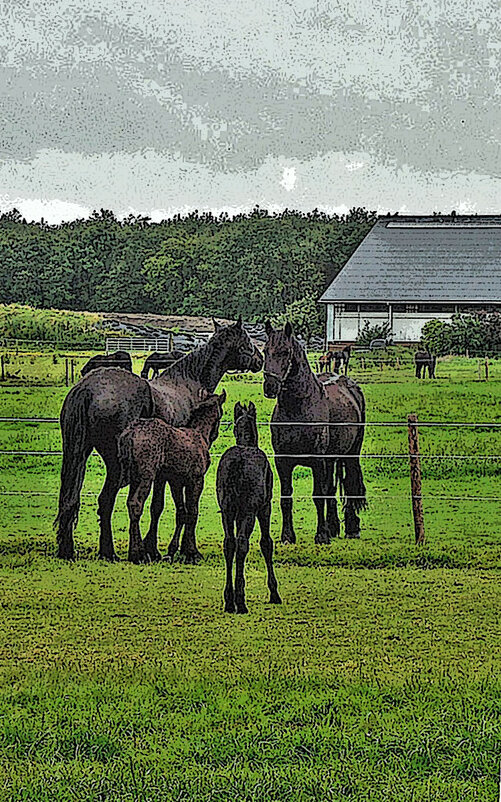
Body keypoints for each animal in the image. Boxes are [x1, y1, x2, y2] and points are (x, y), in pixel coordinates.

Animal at [119, 390, 225, 564]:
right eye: (220, 414)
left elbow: (181, 512)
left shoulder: (175, 482)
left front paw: (173, 550)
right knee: (136, 504)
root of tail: (132, 431)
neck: (198, 435)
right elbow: (193, 512)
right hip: (145, 477)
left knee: (130, 504)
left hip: (135, 478)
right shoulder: (196, 480)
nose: (214, 435)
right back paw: (138, 554)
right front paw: (192, 552)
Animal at [215, 400, 282, 612]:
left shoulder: (233, 513)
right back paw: (240, 601)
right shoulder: (264, 508)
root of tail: (238, 460)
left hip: (227, 511)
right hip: (249, 511)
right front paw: (274, 593)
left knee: (229, 543)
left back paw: (229, 600)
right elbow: (266, 543)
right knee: (243, 543)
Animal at [264, 322, 366, 540]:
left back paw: (351, 527)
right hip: (332, 458)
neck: (298, 409)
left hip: (350, 454)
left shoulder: (317, 461)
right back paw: (333, 526)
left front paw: (321, 535)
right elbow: (287, 497)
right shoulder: (282, 461)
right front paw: (287, 536)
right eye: (265, 351)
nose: (270, 387)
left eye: (285, 352)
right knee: (332, 488)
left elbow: (319, 496)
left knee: (348, 482)